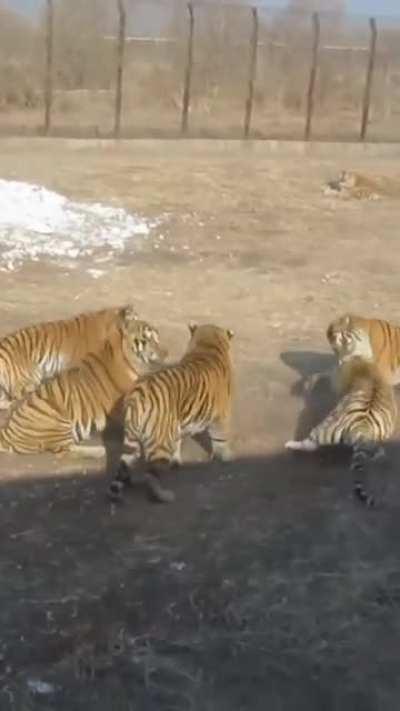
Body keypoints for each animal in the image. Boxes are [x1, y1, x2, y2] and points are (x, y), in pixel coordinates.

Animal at [108, 322, 234, 505]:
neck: (207, 345)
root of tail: (137, 395)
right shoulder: (221, 416)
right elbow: (221, 439)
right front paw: (226, 456)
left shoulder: (178, 423)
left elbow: (179, 441)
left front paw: (177, 461)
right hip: (159, 444)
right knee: (151, 475)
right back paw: (163, 495)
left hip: (131, 440)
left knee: (123, 466)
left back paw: (124, 487)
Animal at [286, 356, 397, 507]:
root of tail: (363, 430)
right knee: (376, 451)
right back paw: (378, 455)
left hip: (327, 427)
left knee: (311, 444)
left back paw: (291, 444)